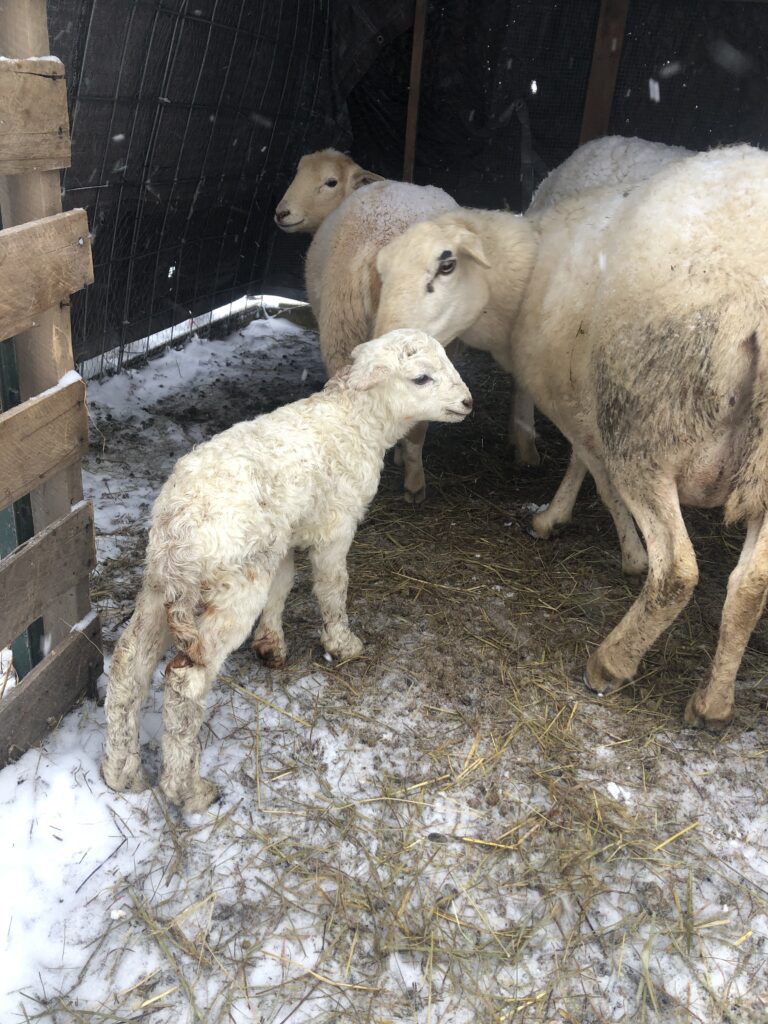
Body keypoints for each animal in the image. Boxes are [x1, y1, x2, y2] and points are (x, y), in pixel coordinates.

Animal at [102, 329, 473, 812]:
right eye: (421, 378)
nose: (468, 402)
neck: (356, 421)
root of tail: (180, 527)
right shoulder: (335, 526)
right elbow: (333, 587)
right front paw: (342, 643)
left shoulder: (281, 540)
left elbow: (283, 585)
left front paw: (271, 645)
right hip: (233, 585)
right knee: (186, 684)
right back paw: (188, 790)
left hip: (160, 586)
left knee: (128, 663)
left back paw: (121, 771)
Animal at [373, 145, 768, 726]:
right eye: (382, 273)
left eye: (447, 264)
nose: (385, 346)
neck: (527, 275)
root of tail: (756, 301)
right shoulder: (583, 398)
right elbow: (585, 465)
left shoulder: (576, 399)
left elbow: (594, 472)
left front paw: (597, 538)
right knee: (749, 585)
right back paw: (712, 703)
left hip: (646, 425)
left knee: (677, 572)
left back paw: (611, 662)